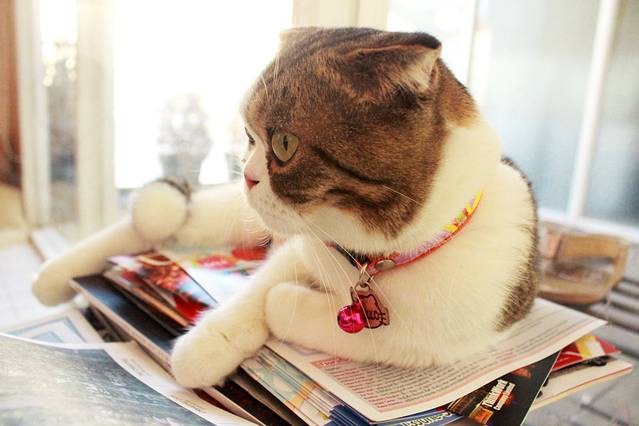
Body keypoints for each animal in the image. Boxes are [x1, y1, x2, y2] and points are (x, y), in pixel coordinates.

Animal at [32, 27, 538, 388]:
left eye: (284, 143)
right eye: (249, 136)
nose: (247, 172)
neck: (367, 257)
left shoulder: (430, 341)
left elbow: (330, 322)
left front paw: (287, 305)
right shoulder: (301, 246)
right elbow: (258, 290)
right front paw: (207, 346)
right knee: (161, 223)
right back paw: (53, 277)